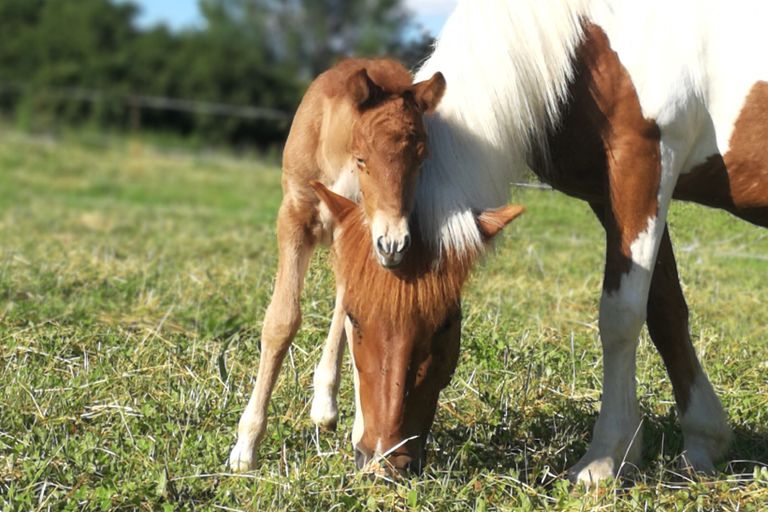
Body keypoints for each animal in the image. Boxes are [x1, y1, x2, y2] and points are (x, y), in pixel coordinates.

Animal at [226, 58, 444, 470]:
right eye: (362, 158)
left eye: (422, 159)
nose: (395, 243)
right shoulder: (294, 217)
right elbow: (281, 321)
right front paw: (245, 448)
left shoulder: (364, 236)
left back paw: (334, 410)